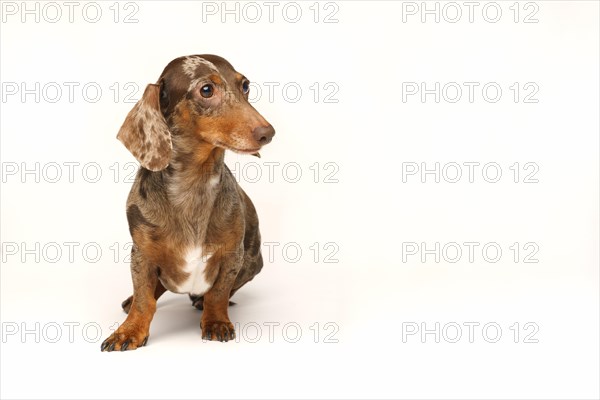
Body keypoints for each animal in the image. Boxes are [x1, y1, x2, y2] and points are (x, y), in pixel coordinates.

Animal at [101, 54, 274, 352]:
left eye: (245, 85)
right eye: (206, 90)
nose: (268, 133)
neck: (194, 185)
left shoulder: (233, 255)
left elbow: (218, 293)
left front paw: (216, 320)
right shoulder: (141, 254)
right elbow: (144, 299)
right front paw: (130, 330)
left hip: (253, 260)